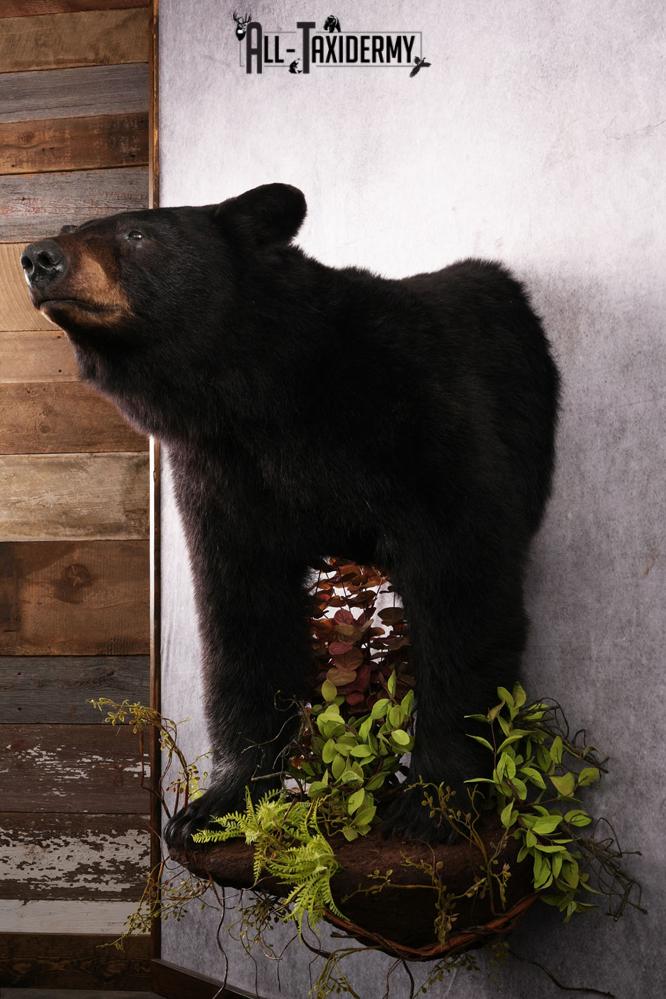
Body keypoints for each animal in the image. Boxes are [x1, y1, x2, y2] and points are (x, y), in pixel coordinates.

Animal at [21, 183, 559, 844]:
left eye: (137, 234)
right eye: (72, 227)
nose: (38, 257)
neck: (261, 394)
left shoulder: (418, 425)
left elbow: (462, 589)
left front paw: (432, 803)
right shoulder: (224, 478)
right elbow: (242, 613)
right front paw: (220, 800)